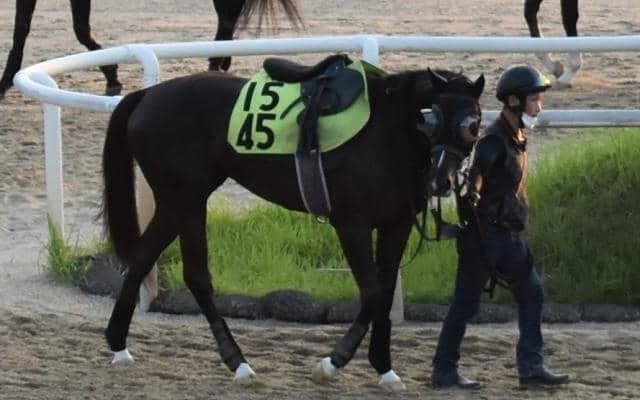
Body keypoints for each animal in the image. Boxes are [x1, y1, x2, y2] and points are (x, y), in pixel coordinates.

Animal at [0, 0, 302, 101]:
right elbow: (21, 30)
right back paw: (220, 62)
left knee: (227, 17)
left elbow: (80, 29)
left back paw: (215, 66)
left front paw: (112, 76)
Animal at [100, 54, 484, 390]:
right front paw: (332, 362)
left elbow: (386, 294)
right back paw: (239, 363)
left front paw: (385, 369)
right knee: (196, 276)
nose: (442, 180)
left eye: (473, 125)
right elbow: (373, 293)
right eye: (432, 119)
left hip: (174, 202)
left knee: (142, 257)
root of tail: (147, 95)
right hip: (189, 200)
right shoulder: (352, 224)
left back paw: (119, 344)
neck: (387, 132)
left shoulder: (396, 224)